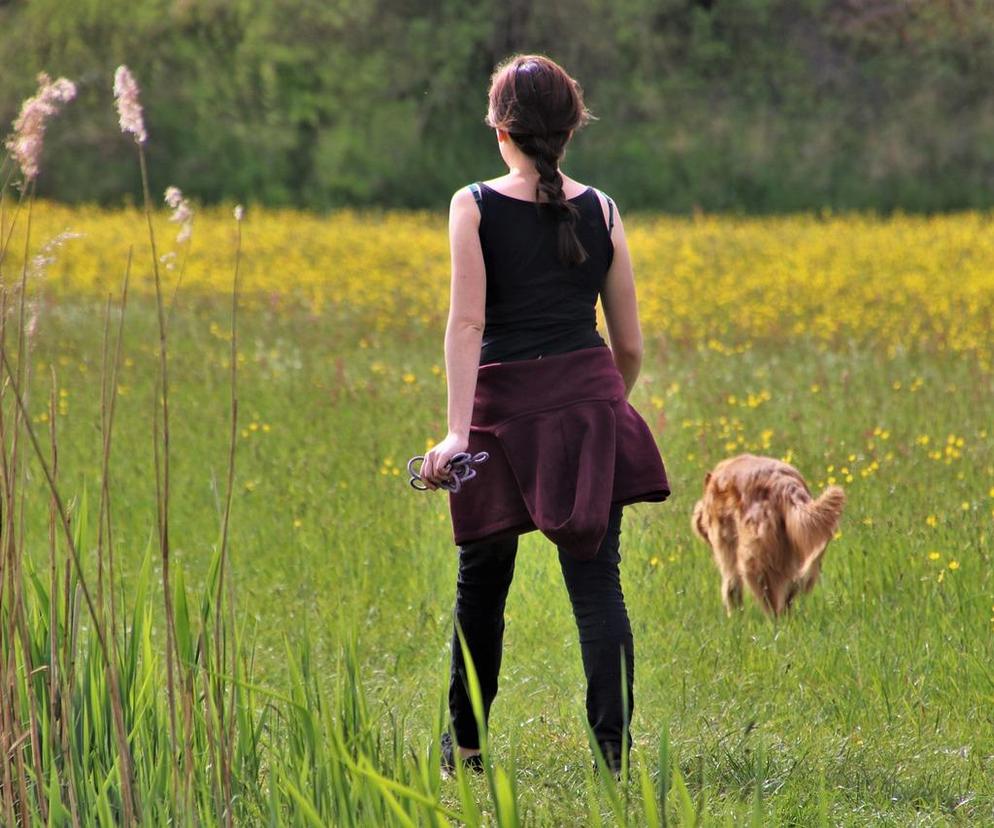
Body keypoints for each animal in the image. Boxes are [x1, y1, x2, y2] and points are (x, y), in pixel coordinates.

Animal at [688, 456, 844, 616]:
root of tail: (785, 486)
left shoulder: (726, 551)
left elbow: (731, 590)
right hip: (806, 560)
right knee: (788, 597)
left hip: (752, 563)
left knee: (772, 606)